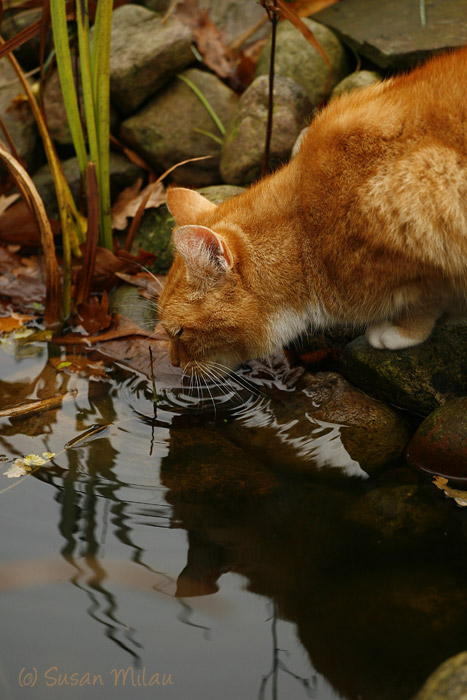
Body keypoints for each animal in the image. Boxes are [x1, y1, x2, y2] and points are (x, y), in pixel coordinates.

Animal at [158, 50, 467, 374]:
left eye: (179, 332)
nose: (174, 363)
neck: (306, 229)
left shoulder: (425, 222)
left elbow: (427, 298)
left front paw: (400, 331)